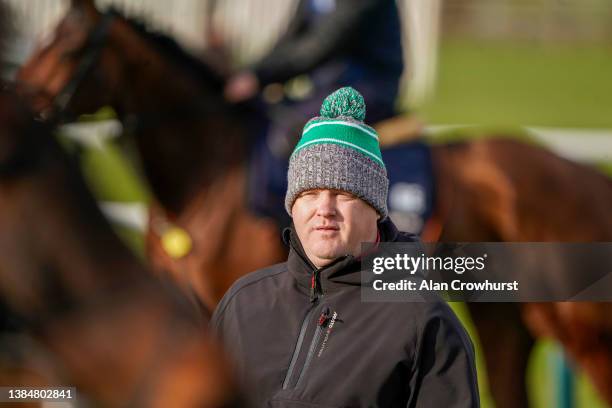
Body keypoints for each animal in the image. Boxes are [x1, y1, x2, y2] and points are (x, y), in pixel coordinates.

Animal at [14, 1, 612, 406]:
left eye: (69, 48)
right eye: (44, 38)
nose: (21, 102)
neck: (210, 175)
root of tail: (582, 175)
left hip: (582, 330)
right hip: (508, 320)